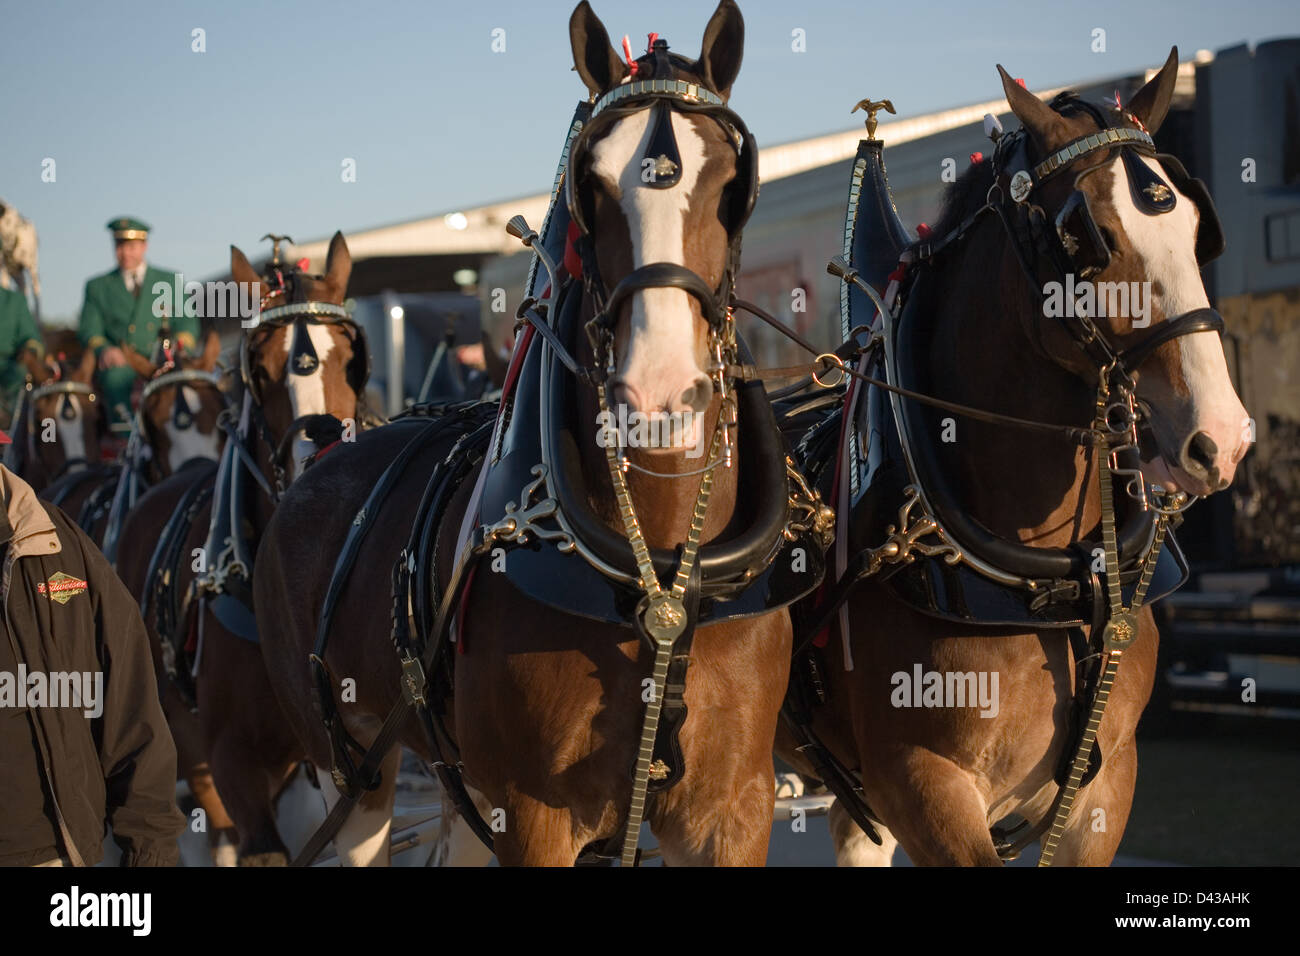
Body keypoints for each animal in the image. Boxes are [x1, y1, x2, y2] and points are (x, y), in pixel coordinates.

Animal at [250, 0, 821, 868]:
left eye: (733, 182)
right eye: (591, 185)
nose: (661, 390)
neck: (661, 581)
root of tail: (324, 458)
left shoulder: (732, 811)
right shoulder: (533, 816)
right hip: (349, 773)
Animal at [774, 50, 1253, 868]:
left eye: (1198, 229)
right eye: (1088, 237)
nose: (1221, 434)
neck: (1053, 579)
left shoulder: (1105, 783)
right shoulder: (922, 786)